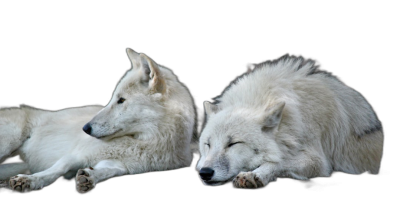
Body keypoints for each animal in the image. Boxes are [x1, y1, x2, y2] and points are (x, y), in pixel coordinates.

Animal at [0, 48, 197, 192]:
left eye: (121, 100)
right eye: (113, 99)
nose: (85, 128)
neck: (146, 142)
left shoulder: (121, 165)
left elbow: (110, 171)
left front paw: (89, 176)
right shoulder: (76, 154)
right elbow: (56, 169)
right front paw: (29, 181)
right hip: (9, 143)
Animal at [195, 56, 382, 189]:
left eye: (233, 143)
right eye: (208, 144)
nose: (205, 173)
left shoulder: (318, 161)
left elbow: (279, 161)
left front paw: (253, 175)